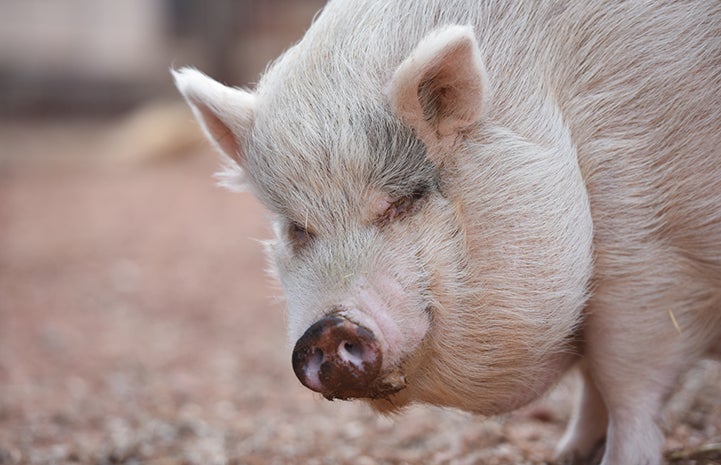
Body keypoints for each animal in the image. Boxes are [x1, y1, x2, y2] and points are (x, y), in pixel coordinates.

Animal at [172, 0, 716, 464]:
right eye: (298, 229)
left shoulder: (650, 247)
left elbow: (626, 384)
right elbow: (594, 382)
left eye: (401, 203)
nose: (328, 329)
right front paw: (567, 455)